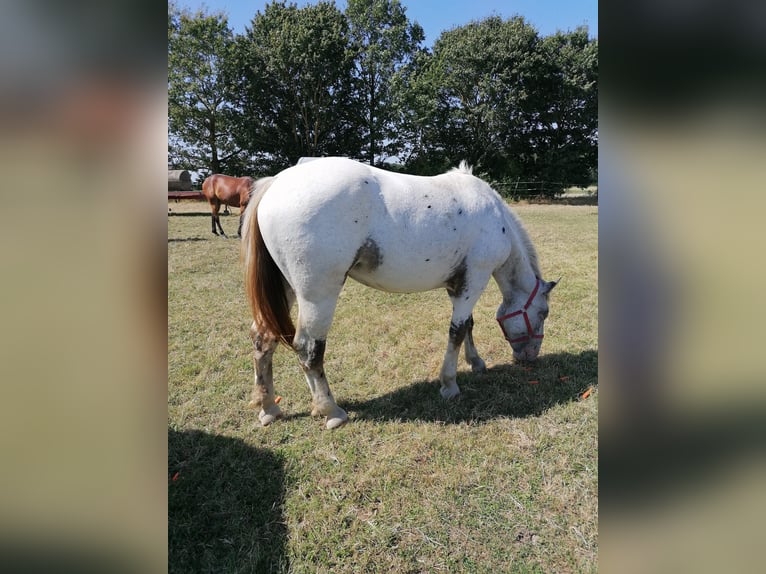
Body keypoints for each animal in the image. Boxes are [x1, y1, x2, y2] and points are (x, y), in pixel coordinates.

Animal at [244, 159, 560, 432]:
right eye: (543, 313)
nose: (529, 357)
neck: (495, 216)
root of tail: (277, 183)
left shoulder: (458, 286)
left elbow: (468, 325)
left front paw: (476, 363)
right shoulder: (474, 280)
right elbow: (457, 332)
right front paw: (449, 384)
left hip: (286, 289)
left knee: (264, 339)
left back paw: (270, 407)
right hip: (317, 296)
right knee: (309, 349)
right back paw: (331, 411)